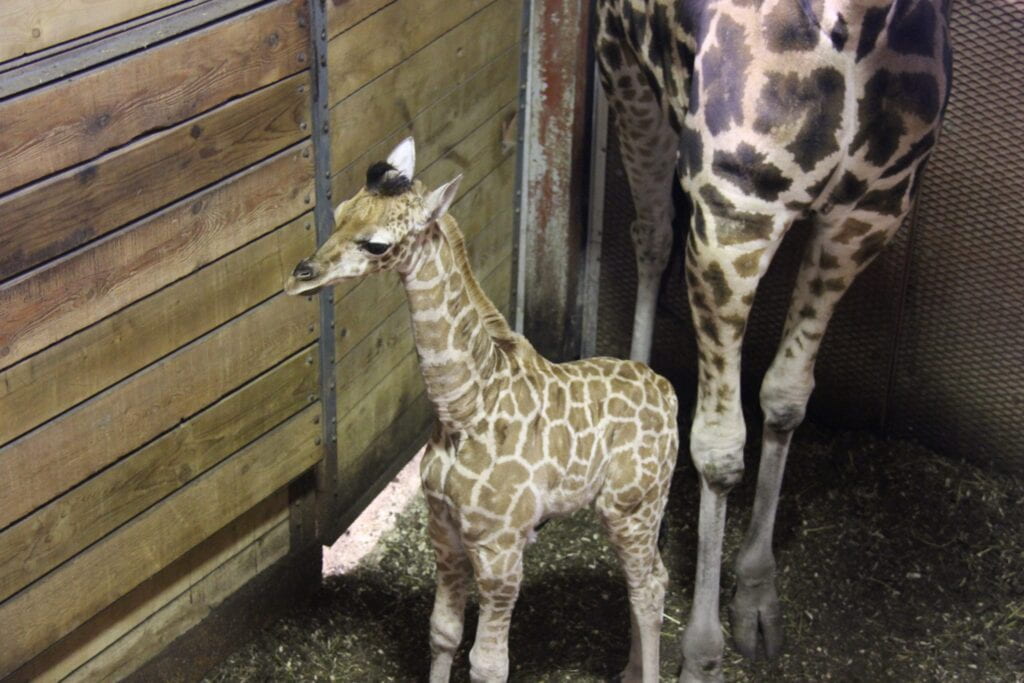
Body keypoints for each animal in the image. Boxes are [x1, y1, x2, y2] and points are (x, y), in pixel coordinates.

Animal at [285, 138, 680, 682]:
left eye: (377, 244)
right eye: (340, 211)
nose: (299, 276)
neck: (463, 410)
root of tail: (670, 392)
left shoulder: (501, 548)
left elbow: (488, 664)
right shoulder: (444, 531)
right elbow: (443, 633)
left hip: (632, 506)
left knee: (651, 587)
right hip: (634, 509)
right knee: (646, 581)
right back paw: (626, 671)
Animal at [595, 0, 951, 680]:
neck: (859, 27)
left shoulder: (870, 212)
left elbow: (786, 398)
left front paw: (757, 598)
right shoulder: (733, 213)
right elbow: (719, 448)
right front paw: (702, 654)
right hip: (624, 72)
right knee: (650, 234)